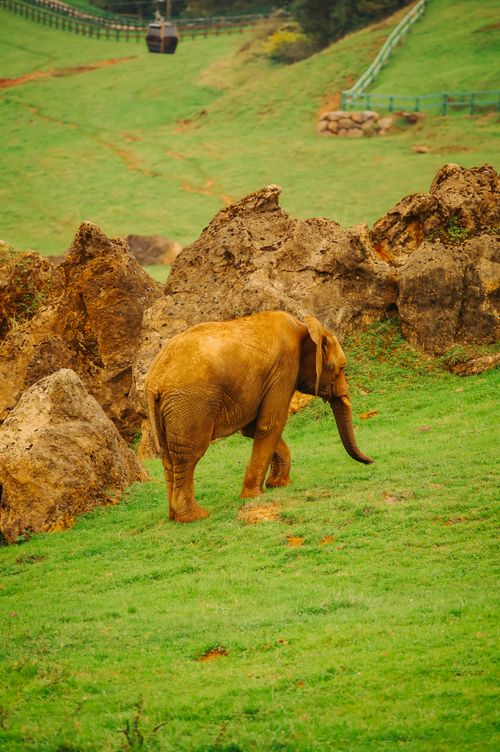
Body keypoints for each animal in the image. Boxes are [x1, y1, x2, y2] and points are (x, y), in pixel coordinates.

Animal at [145, 310, 373, 523]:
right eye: (341, 368)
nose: (372, 461)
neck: (304, 326)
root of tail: (154, 380)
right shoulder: (284, 369)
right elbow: (271, 423)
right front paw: (254, 496)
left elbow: (253, 429)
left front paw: (279, 485)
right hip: (191, 405)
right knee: (189, 455)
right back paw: (195, 517)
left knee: (168, 457)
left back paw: (173, 516)